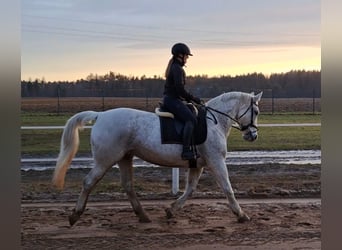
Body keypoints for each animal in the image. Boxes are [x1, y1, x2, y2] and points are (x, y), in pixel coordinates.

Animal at [52, 91, 262, 226]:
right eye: (257, 112)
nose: (252, 135)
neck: (214, 122)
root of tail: (101, 115)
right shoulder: (216, 161)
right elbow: (227, 188)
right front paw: (242, 215)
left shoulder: (197, 164)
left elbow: (190, 189)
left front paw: (172, 210)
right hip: (105, 160)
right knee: (89, 182)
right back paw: (75, 215)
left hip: (124, 158)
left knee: (128, 185)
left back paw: (143, 215)